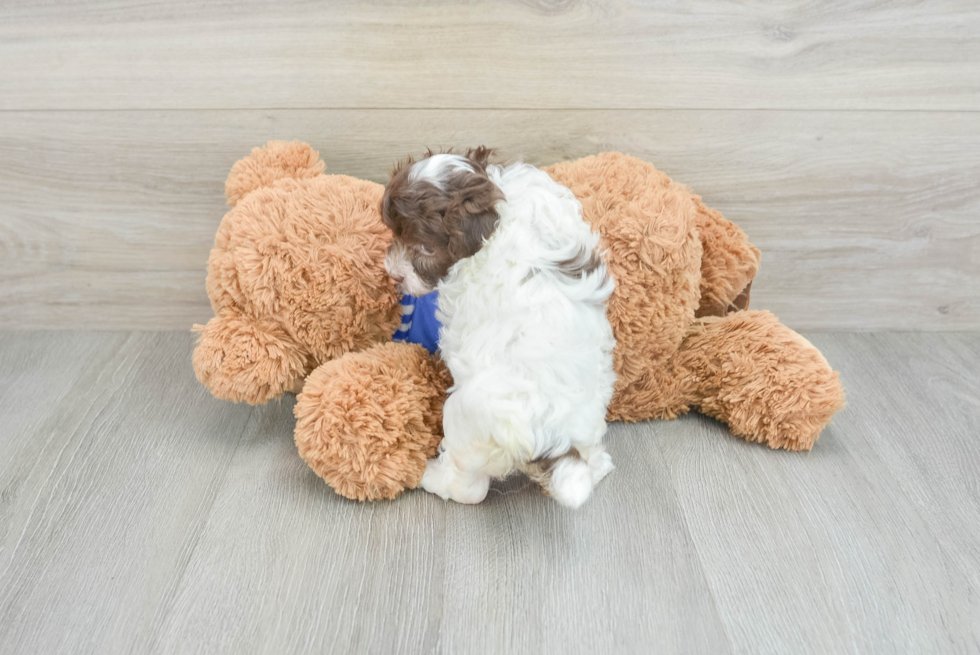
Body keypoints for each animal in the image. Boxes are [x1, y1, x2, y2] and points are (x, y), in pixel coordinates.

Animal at [380, 149, 612, 508]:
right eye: (396, 234)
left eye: (425, 249)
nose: (393, 274)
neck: (496, 205)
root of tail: (555, 441)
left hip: (467, 420)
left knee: (469, 487)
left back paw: (431, 477)